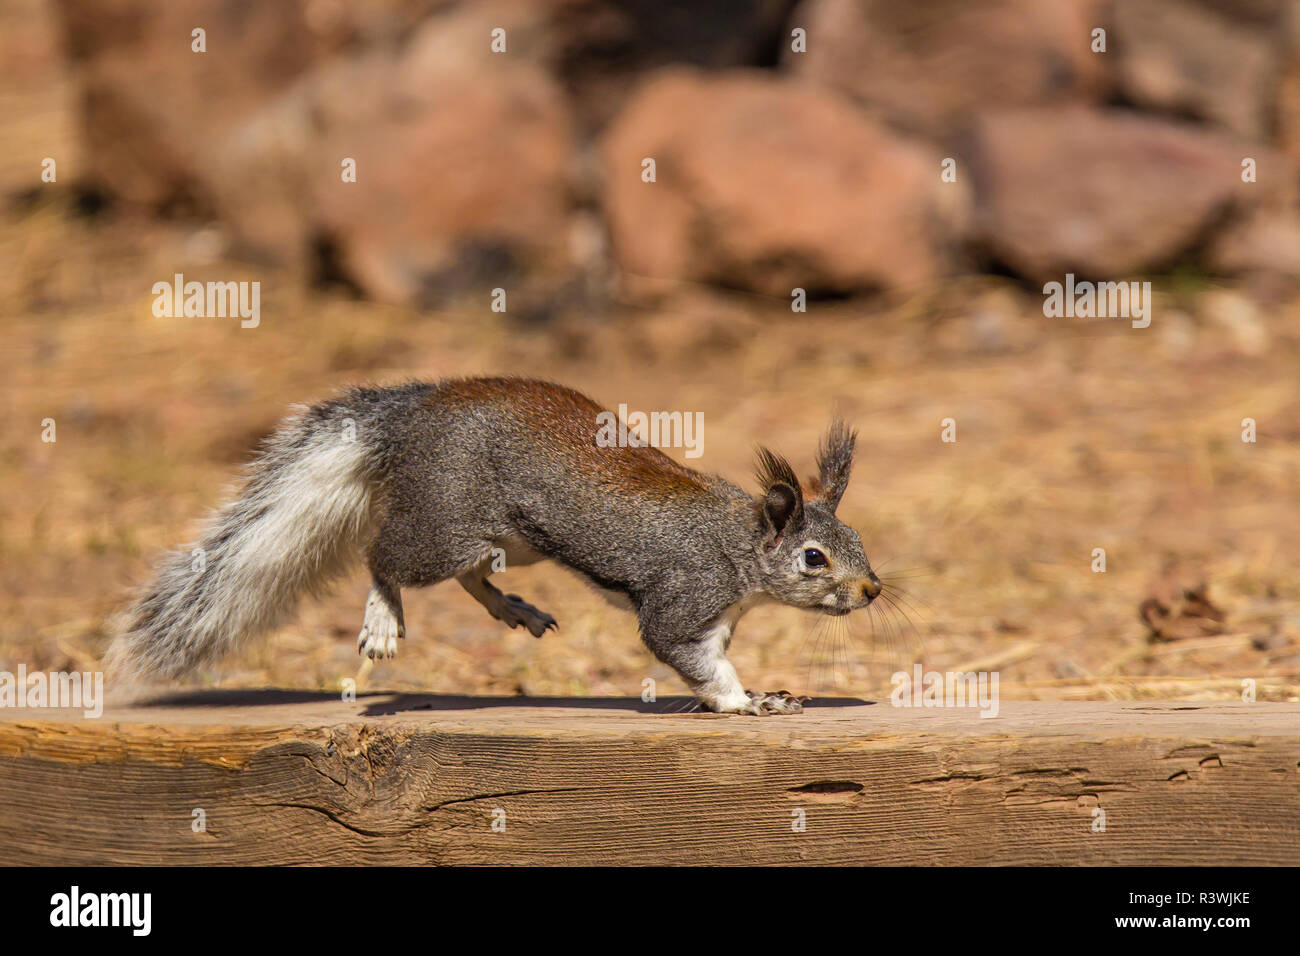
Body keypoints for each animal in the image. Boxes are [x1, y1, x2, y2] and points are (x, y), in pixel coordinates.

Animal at [114, 377, 883, 712]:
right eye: (814, 558)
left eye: (857, 540)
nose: (873, 589)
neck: (735, 542)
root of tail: (412, 417)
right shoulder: (682, 596)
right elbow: (684, 653)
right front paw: (740, 702)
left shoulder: (719, 616)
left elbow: (714, 655)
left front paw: (758, 692)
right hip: (446, 526)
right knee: (385, 557)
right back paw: (382, 618)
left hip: (513, 539)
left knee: (473, 576)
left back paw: (514, 609)